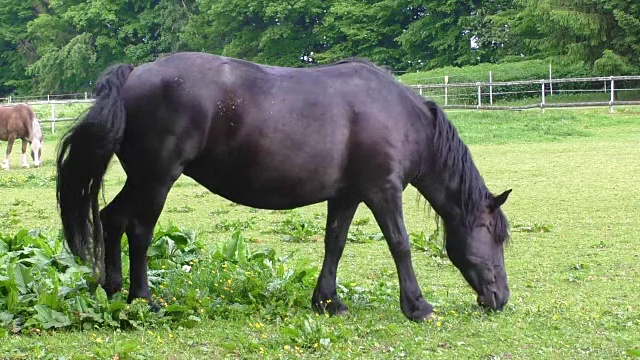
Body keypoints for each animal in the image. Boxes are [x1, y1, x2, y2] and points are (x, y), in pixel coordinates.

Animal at [57, 51, 512, 320]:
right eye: (495, 236)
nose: (500, 298)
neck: (398, 115)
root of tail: (135, 73)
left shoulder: (347, 195)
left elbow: (335, 243)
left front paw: (328, 301)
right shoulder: (383, 191)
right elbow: (400, 246)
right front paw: (417, 306)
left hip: (141, 180)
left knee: (111, 219)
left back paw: (114, 291)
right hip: (156, 180)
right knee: (138, 230)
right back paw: (142, 299)